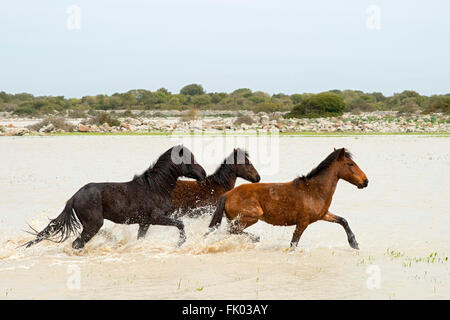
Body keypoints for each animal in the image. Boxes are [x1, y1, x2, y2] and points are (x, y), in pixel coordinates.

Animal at [23, 146, 207, 250]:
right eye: (189, 159)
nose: (203, 174)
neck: (156, 187)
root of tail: (74, 197)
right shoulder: (156, 218)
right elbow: (180, 224)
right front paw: (180, 243)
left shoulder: (144, 222)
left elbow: (140, 238)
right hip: (93, 225)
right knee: (77, 243)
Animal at [207, 148, 370, 250]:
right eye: (350, 164)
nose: (365, 181)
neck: (313, 191)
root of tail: (227, 194)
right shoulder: (302, 223)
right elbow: (293, 244)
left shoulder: (323, 215)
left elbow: (343, 221)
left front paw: (354, 243)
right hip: (251, 217)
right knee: (231, 231)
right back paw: (255, 238)